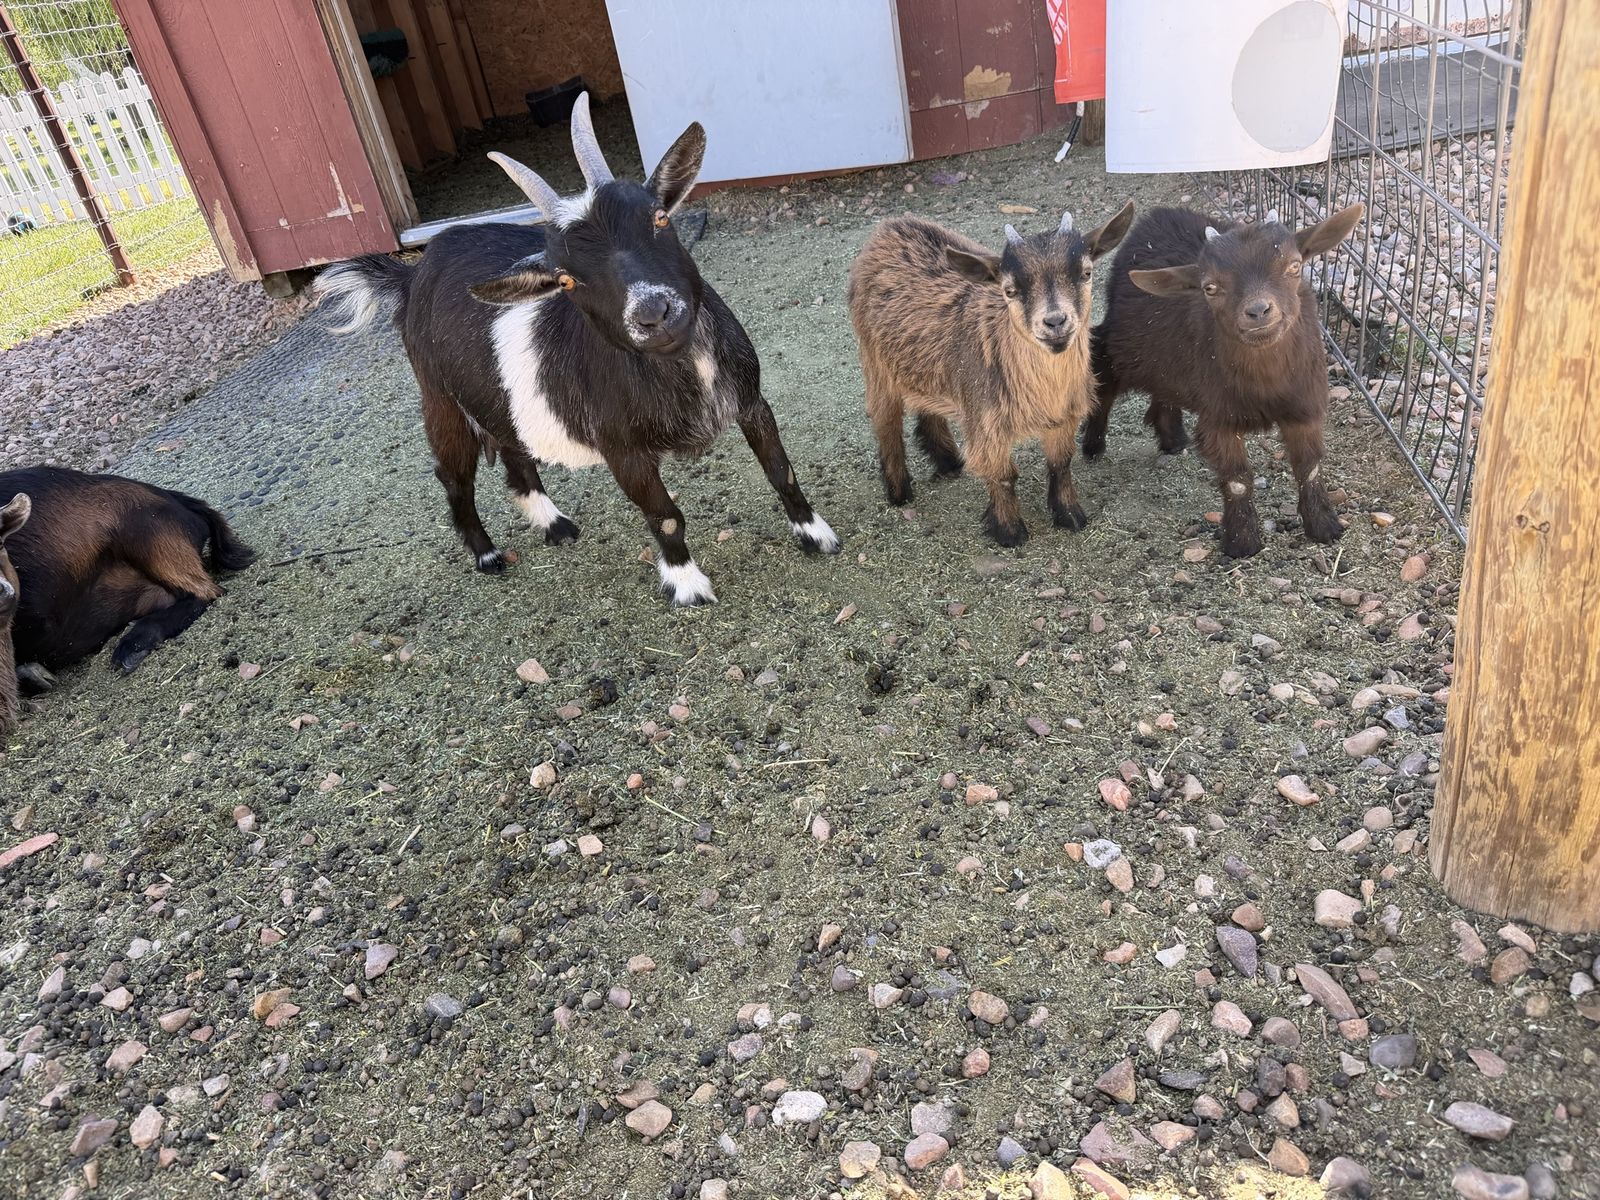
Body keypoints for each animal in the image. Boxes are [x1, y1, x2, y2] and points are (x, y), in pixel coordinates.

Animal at [314, 95, 839, 606]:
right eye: (565, 279)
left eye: (659, 217)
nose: (653, 313)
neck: (683, 368)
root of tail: (410, 276)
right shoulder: (623, 451)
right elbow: (666, 515)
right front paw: (687, 585)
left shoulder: (751, 401)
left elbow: (781, 471)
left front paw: (815, 534)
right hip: (441, 399)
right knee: (453, 477)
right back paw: (487, 555)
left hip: (500, 397)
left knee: (515, 454)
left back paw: (554, 524)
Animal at [848, 202, 1135, 546]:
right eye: (1009, 290)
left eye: (1086, 273)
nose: (1055, 322)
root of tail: (888, 227)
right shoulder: (987, 421)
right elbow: (1002, 475)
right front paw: (1010, 532)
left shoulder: (1064, 416)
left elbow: (1061, 463)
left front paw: (1070, 516)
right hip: (875, 362)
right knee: (885, 419)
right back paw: (899, 492)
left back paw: (948, 462)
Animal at [1082, 203, 1365, 557]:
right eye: (1210, 287)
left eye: (1294, 265)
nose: (1258, 311)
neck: (1266, 385)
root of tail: (1157, 214)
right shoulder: (1219, 417)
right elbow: (1237, 479)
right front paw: (1242, 542)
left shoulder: (1305, 407)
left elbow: (1309, 466)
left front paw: (1325, 527)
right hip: (1125, 344)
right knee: (1103, 372)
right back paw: (1093, 444)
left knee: (1166, 387)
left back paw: (1173, 438)